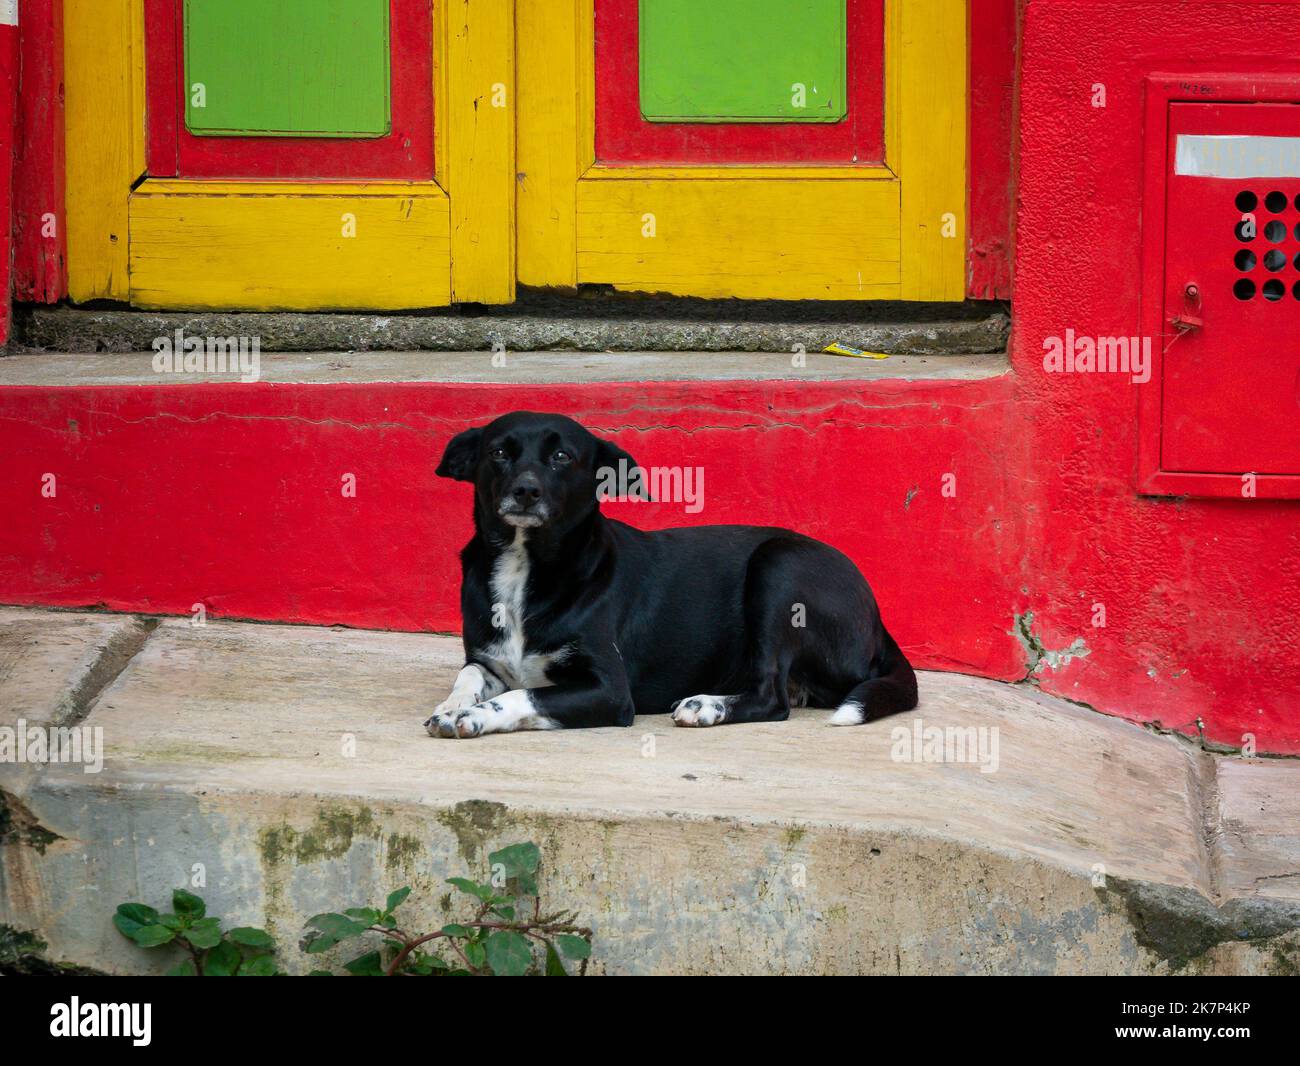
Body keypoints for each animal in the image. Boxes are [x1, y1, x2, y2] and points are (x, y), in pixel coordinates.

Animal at [426, 413, 915, 738]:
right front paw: (452, 706)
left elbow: (523, 695)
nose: (525, 490)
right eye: (499, 453)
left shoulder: (610, 690)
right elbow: (469, 676)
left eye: (562, 456)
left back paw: (707, 705)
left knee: (772, 697)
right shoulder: (489, 660)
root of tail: (878, 621)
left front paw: (476, 715)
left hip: (779, 569)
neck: (524, 565)